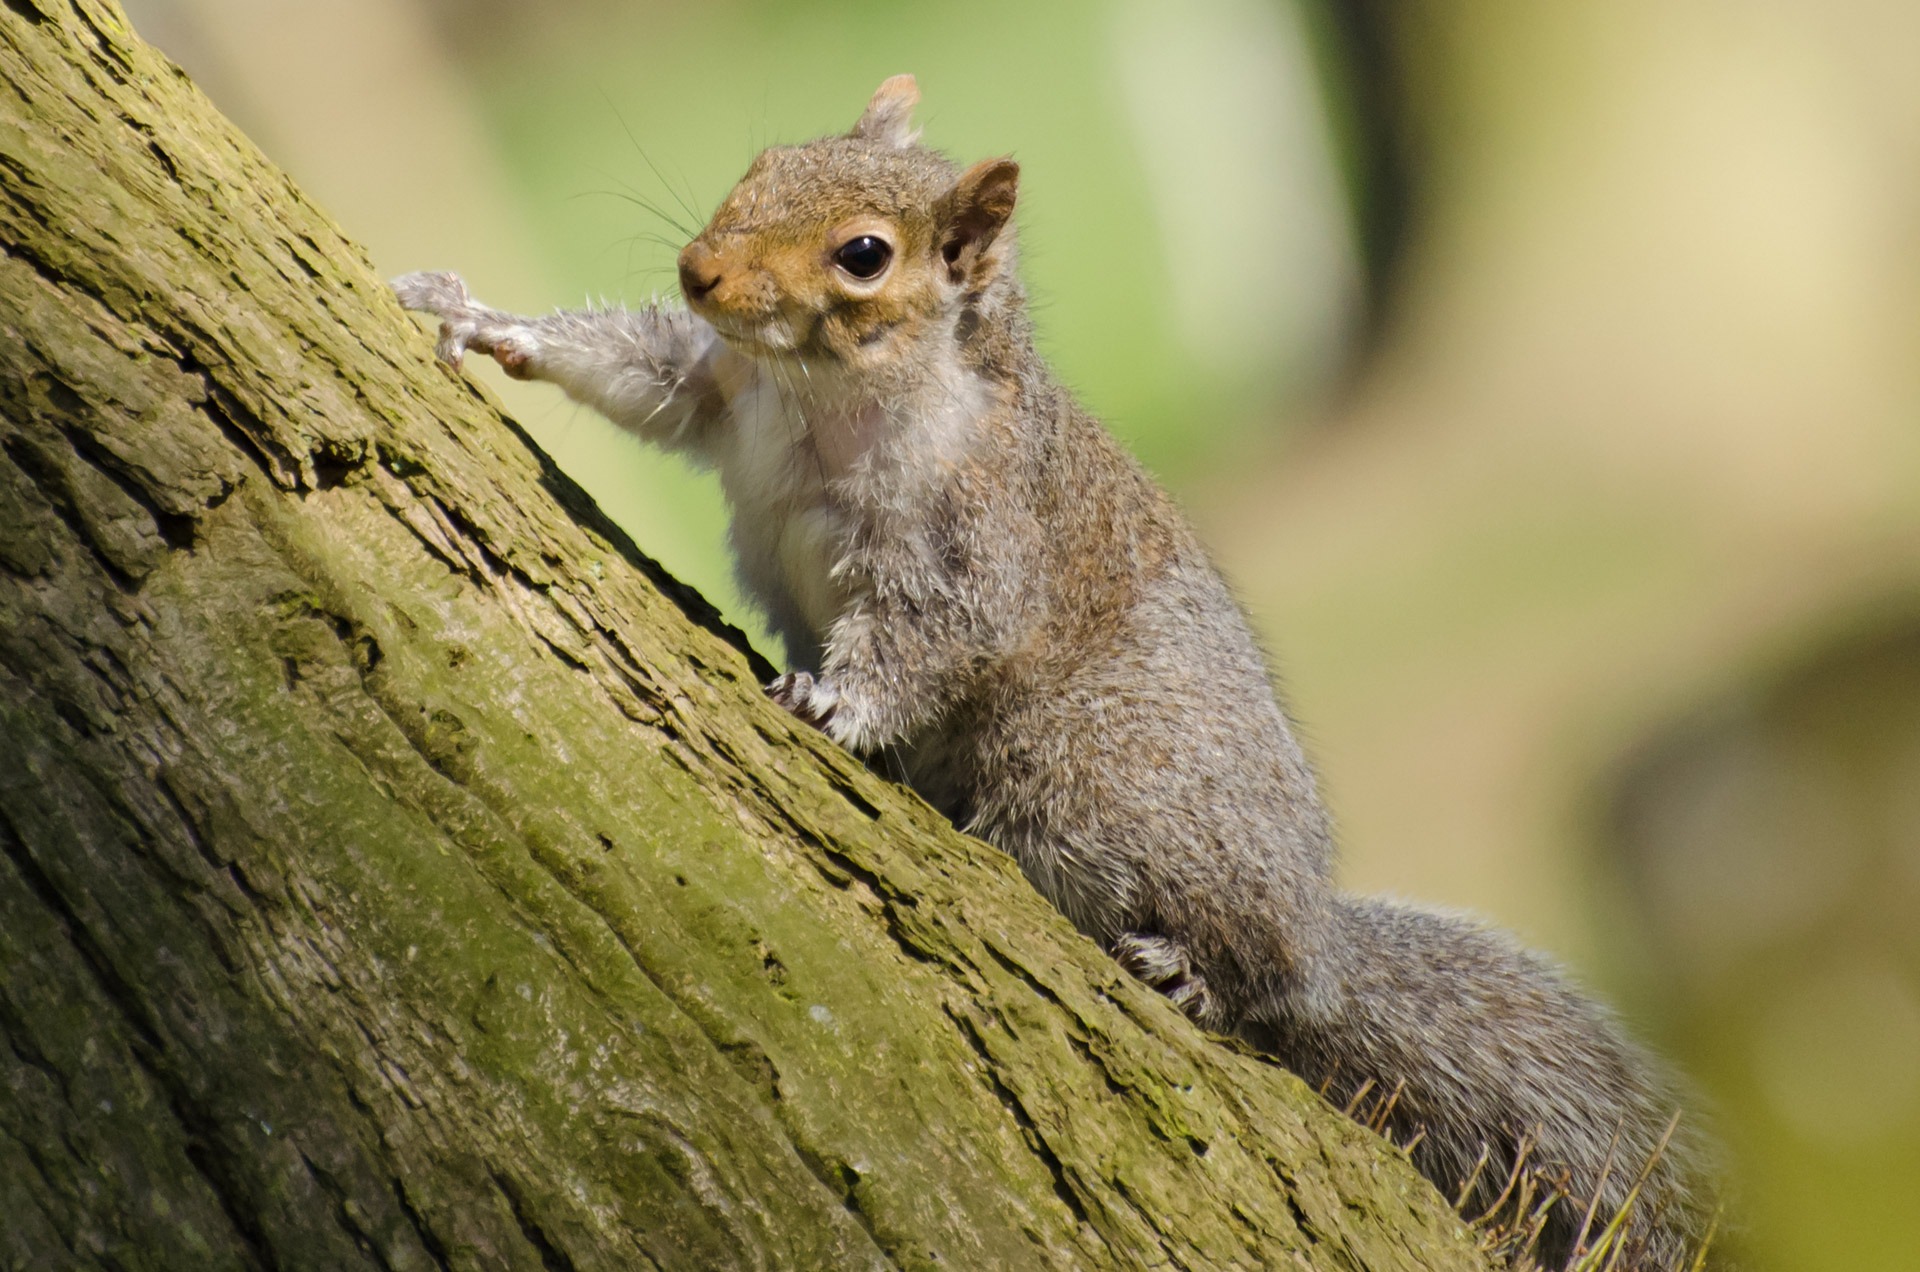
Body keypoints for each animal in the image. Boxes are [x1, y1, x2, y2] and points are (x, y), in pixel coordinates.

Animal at [397, 72, 1720, 1272]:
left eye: (865, 255)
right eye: (766, 161)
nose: (699, 272)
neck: (834, 390)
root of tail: (1324, 936)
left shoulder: (975, 539)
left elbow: (930, 639)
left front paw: (835, 698)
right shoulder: (720, 387)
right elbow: (639, 370)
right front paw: (480, 319)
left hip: (1090, 783)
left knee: (1265, 980)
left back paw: (1196, 974)